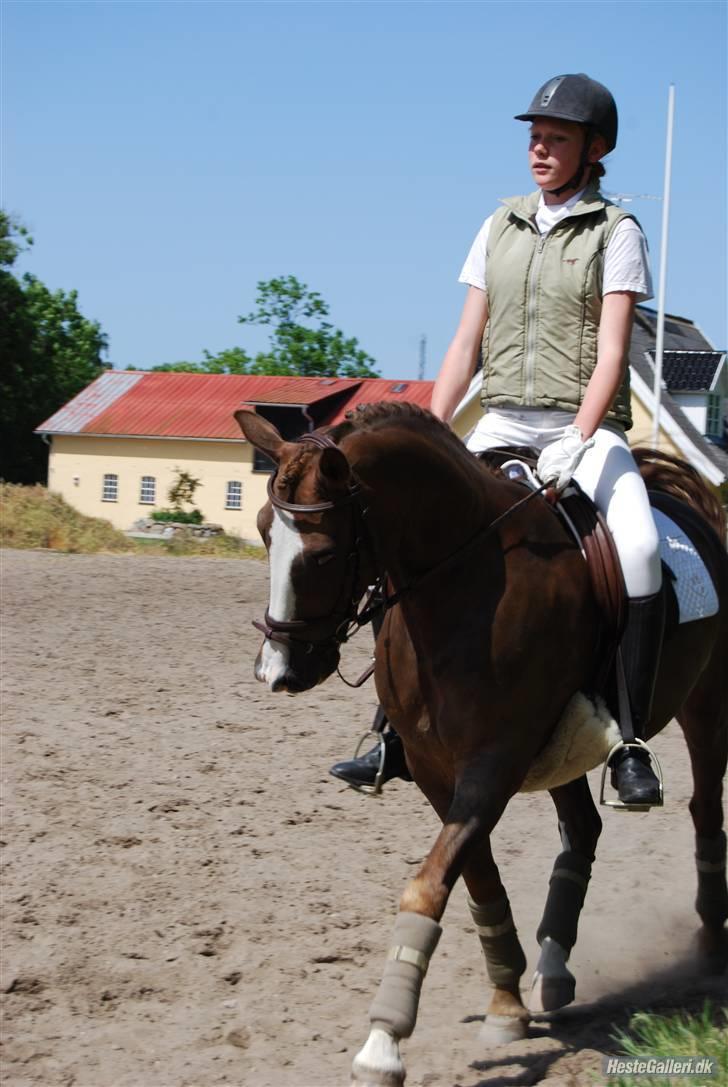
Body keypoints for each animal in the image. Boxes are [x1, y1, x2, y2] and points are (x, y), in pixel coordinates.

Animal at [235, 404, 728, 1082]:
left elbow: (429, 884)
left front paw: (383, 1042)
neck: (462, 583)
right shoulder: (437, 770)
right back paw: (553, 968)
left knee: (704, 810)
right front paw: (504, 1002)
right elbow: (476, 881)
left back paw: (708, 946)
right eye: (263, 531)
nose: (277, 671)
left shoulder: (495, 762)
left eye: (324, 554)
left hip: (708, 706)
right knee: (582, 831)